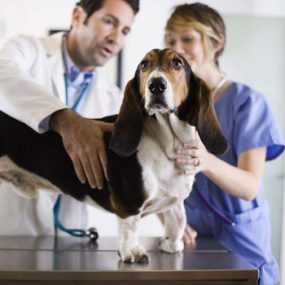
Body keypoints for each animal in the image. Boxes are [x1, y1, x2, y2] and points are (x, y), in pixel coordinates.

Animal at [0, 48, 227, 262]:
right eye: (144, 65)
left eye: (177, 63)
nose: (156, 85)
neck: (166, 142)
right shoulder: (129, 203)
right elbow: (130, 227)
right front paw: (131, 252)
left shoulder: (172, 198)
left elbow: (178, 219)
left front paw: (172, 244)